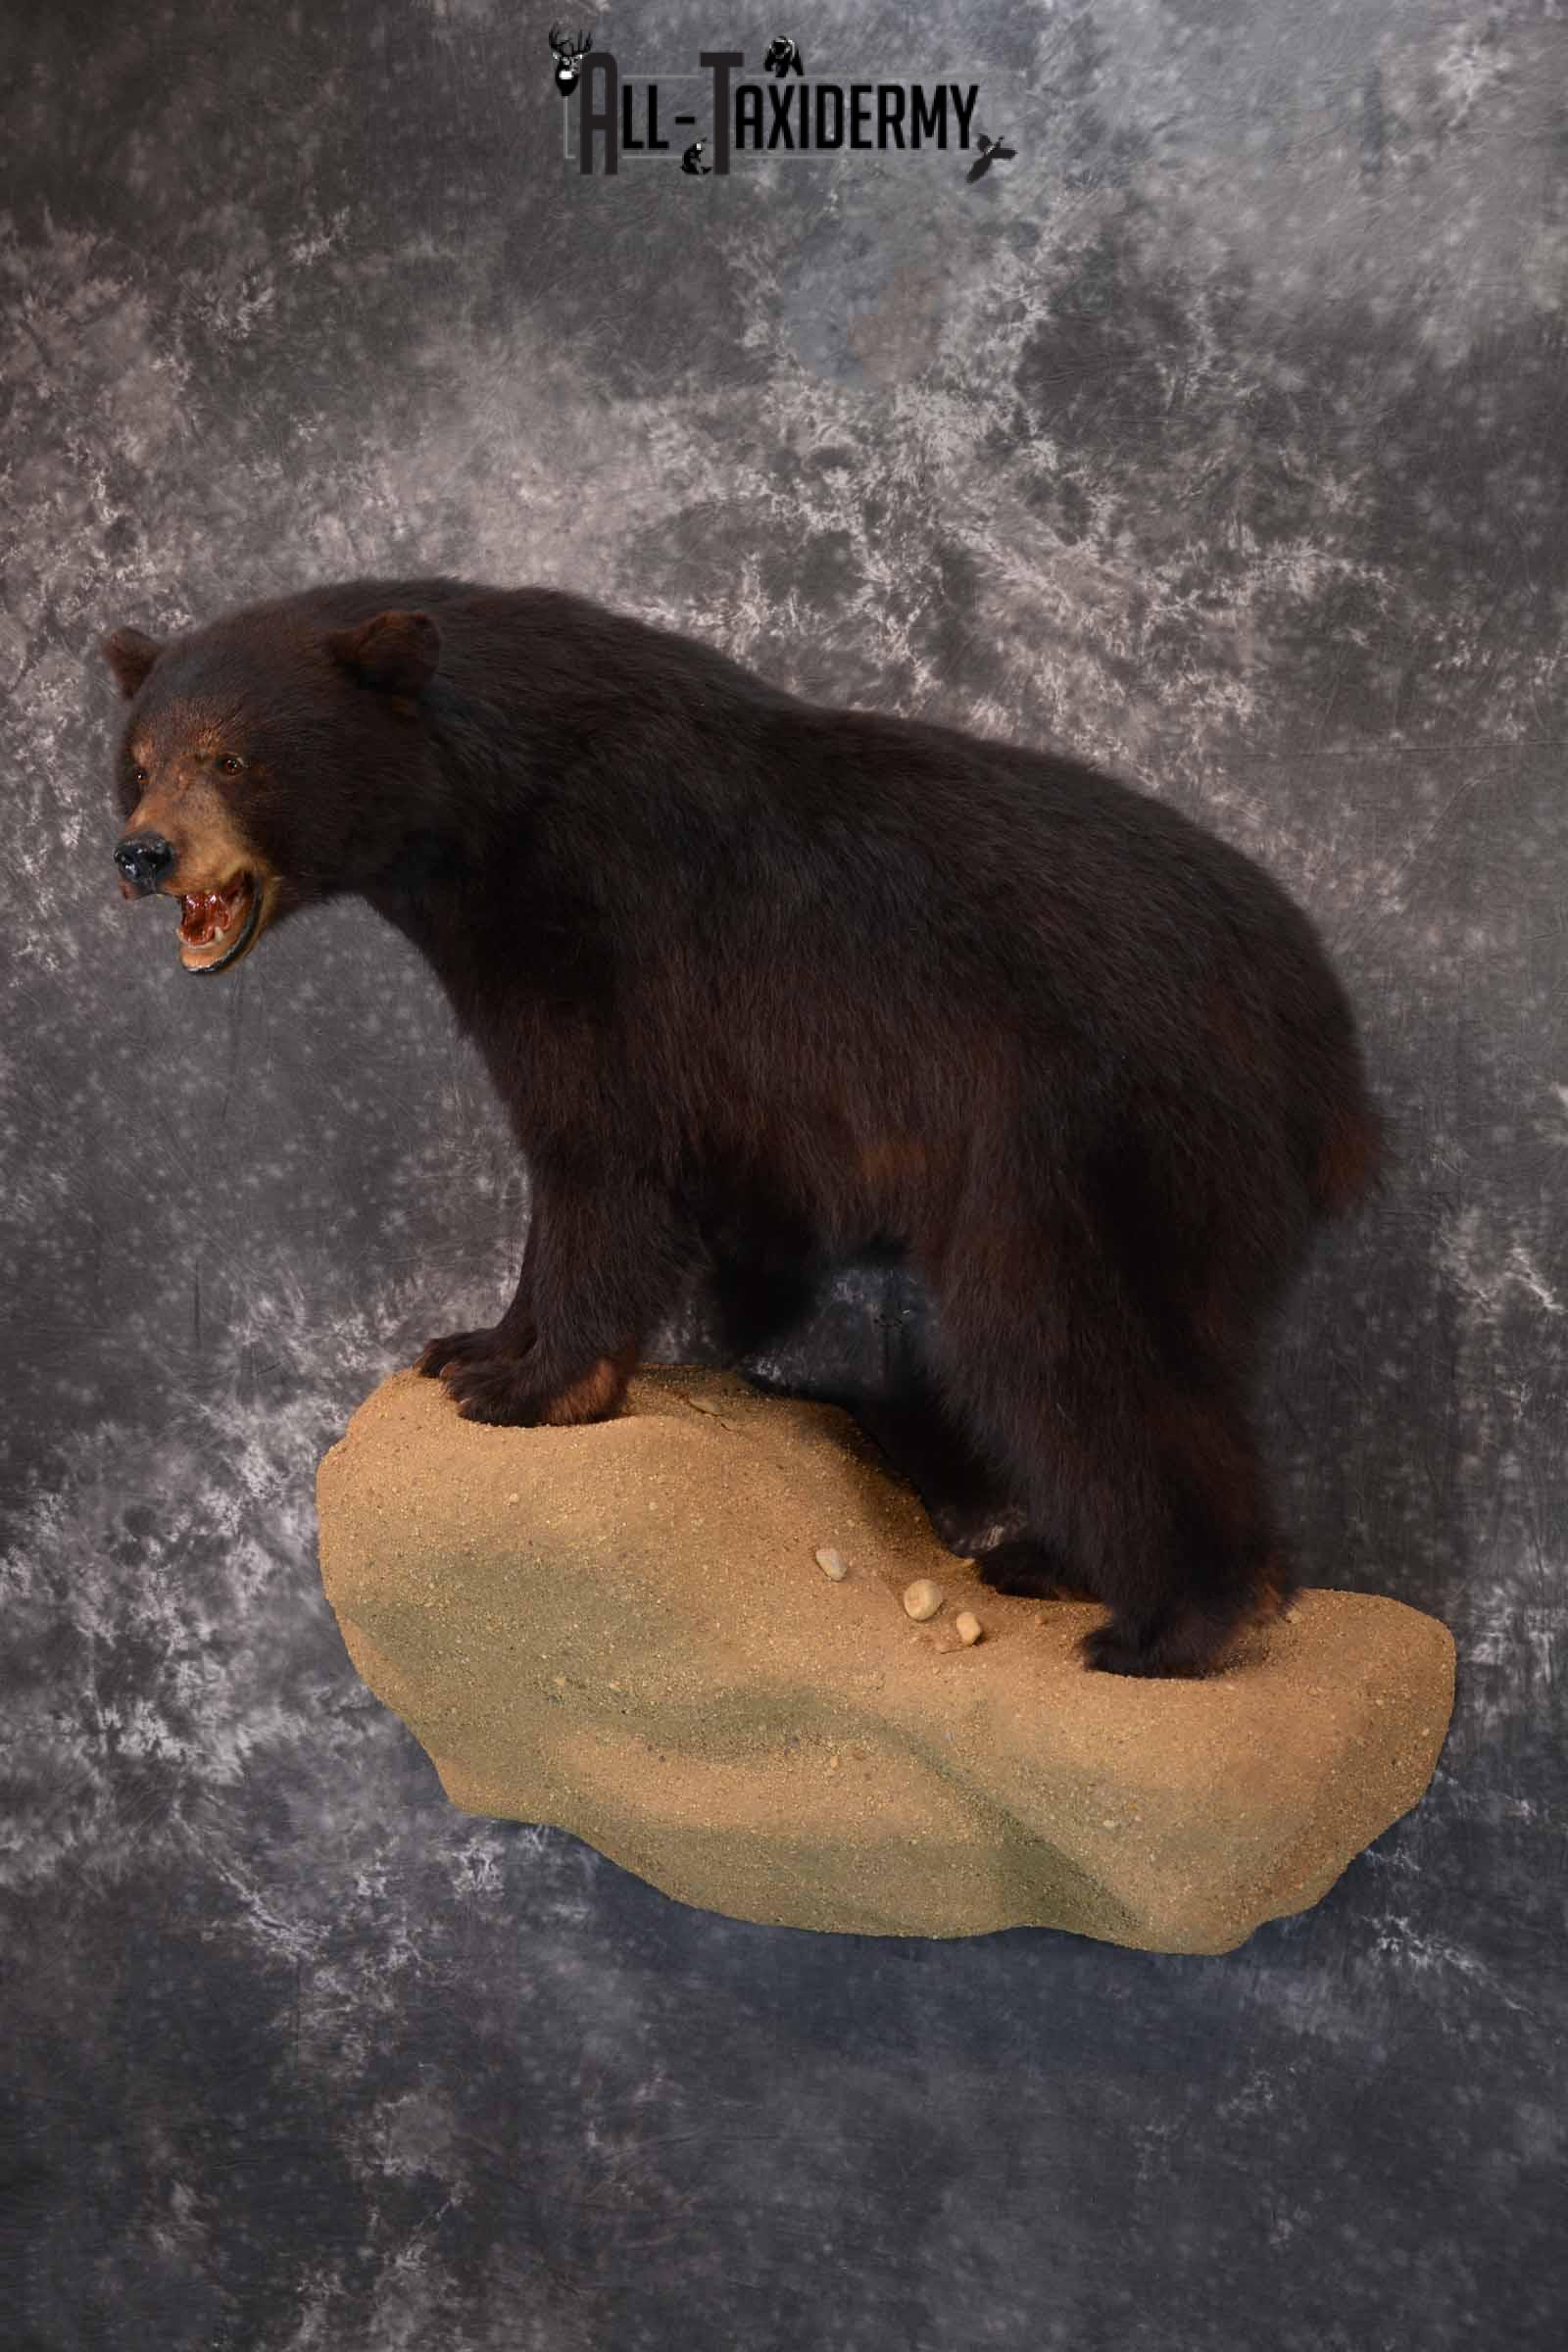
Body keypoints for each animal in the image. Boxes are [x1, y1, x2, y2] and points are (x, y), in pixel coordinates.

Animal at [101, 576, 1383, 1677]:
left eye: (233, 757)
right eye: (138, 760)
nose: (142, 851)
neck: (490, 811)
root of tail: (1323, 1048)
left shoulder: (608, 948)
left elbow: (602, 1164)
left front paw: (530, 1386)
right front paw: (473, 1344)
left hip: (1087, 1137)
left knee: (1062, 1348)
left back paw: (1167, 1626)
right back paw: (1070, 1563)